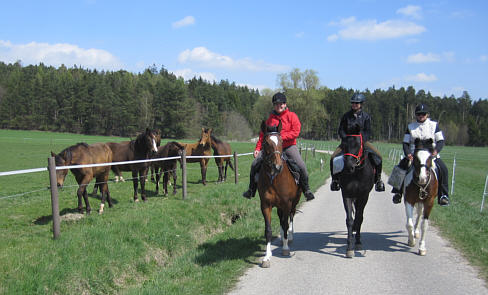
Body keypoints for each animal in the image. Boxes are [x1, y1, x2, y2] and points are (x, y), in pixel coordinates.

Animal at [258, 121, 300, 270]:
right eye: (266, 143)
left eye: (281, 141)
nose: (277, 166)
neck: (274, 178)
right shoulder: (265, 205)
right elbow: (268, 230)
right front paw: (266, 257)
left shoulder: (287, 203)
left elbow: (286, 224)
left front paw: (286, 249)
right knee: (282, 219)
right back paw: (282, 237)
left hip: (293, 202)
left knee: (290, 217)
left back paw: (290, 237)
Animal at [338, 125, 376, 260]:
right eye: (344, 144)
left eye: (358, 145)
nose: (349, 166)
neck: (356, 173)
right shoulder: (346, 195)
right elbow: (349, 220)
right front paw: (349, 248)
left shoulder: (364, 196)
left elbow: (359, 218)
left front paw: (358, 243)